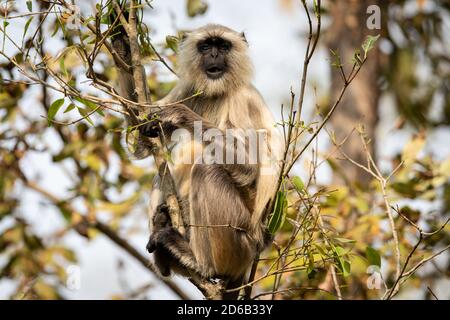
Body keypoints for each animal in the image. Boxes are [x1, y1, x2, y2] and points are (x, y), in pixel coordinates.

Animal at [139, 23, 284, 296]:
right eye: (206, 46)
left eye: (223, 46)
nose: (215, 55)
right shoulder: (187, 89)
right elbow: (139, 145)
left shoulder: (243, 99)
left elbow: (250, 168)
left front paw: (179, 115)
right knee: (162, 175)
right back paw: (165, 250)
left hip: (240, 241)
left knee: (208, 169)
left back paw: (199, 262)